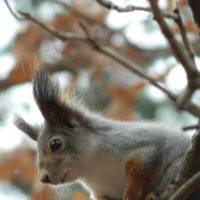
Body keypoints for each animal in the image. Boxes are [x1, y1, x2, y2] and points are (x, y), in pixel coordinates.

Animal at [15, 68, 194, 200]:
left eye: (55, 144)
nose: (43, 178)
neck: (92, 167)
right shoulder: (100, 191)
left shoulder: (140, 146)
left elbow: (141, 169)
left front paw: (131, 195)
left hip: (175, 168)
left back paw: (153, 194)